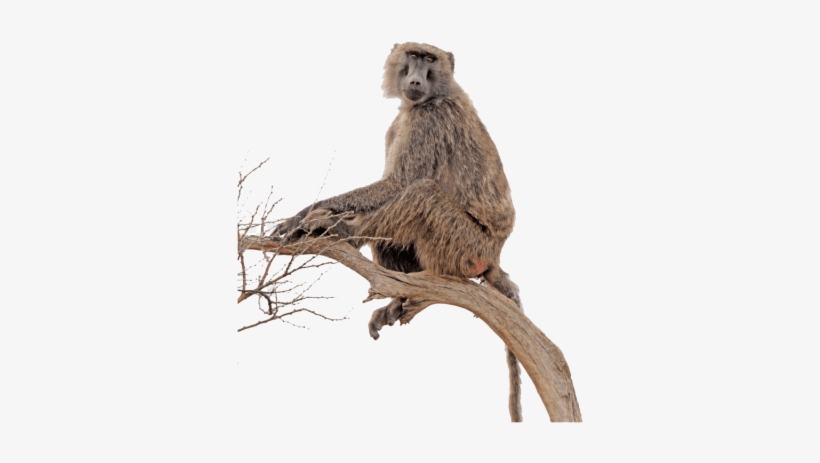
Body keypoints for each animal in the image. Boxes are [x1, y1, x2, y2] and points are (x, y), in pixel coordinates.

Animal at [273, 43, 524, 422]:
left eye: (430, 60)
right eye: (413, 56)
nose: (416, 79)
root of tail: (495, 254)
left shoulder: (429, 120)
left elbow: (398, 184)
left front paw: (309, 216)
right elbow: (390, 187)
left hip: (464, 244)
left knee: (421, 192)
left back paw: (346, 233)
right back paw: (399, 298)